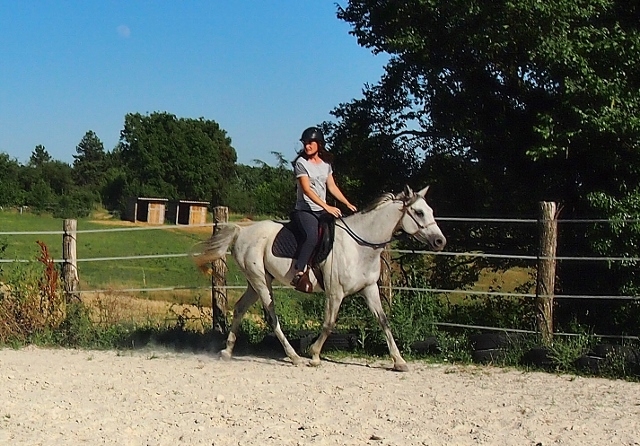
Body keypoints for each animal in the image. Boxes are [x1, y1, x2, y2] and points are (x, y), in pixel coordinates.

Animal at [193, 185, 446, 372]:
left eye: (430, 210)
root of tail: (242, 232)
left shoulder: (369, 288)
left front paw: (399, 361)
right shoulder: (335, 292)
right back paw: (294, 356)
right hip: (261, 283)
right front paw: (314, 355)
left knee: (239, 309)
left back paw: (227, 351)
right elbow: (328, 323)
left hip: (256, 283)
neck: (359, 246)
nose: (440, 241)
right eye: (419, 212)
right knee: (271, 317)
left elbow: (383, 321)